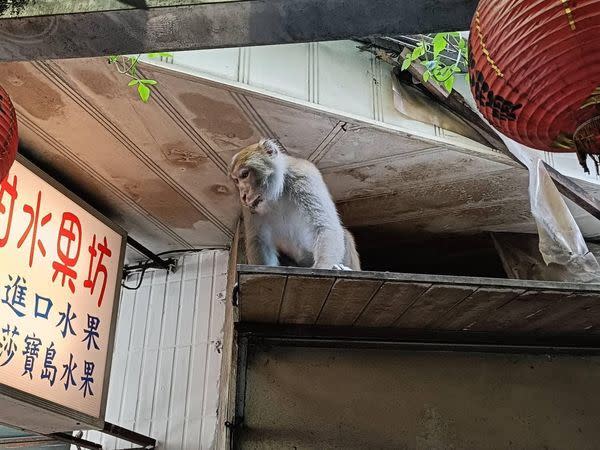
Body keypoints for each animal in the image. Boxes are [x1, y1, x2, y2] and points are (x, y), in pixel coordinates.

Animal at [229, 138, 360, 270]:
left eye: (244, 175)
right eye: (236, 180)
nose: (243, 195)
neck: (276, 195)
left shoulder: (303, 177)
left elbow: (325, 226)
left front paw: (322, 266)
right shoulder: (248, 207)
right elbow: (259, 240)